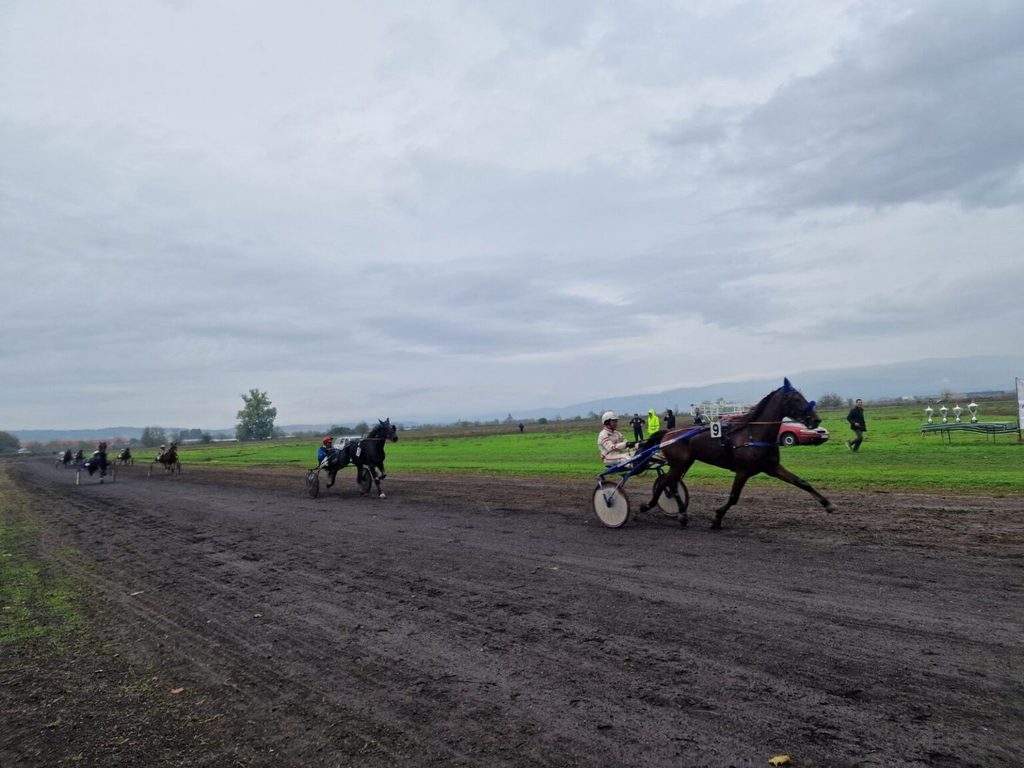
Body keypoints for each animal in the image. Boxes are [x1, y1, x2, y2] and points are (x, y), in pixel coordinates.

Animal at [643, 378, 835, 528]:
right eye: (795, 398)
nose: (816, 419)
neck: (754, 434)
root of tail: (669, 433)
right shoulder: (743, 471)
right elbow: (734, 497)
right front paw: (717, 518)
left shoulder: (772, 467)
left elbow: (802, 482)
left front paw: (828, 505)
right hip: (678, 463)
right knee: (664, 483)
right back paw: (648, 506)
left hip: (684, 463)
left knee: (672, 484)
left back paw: (682, 514)